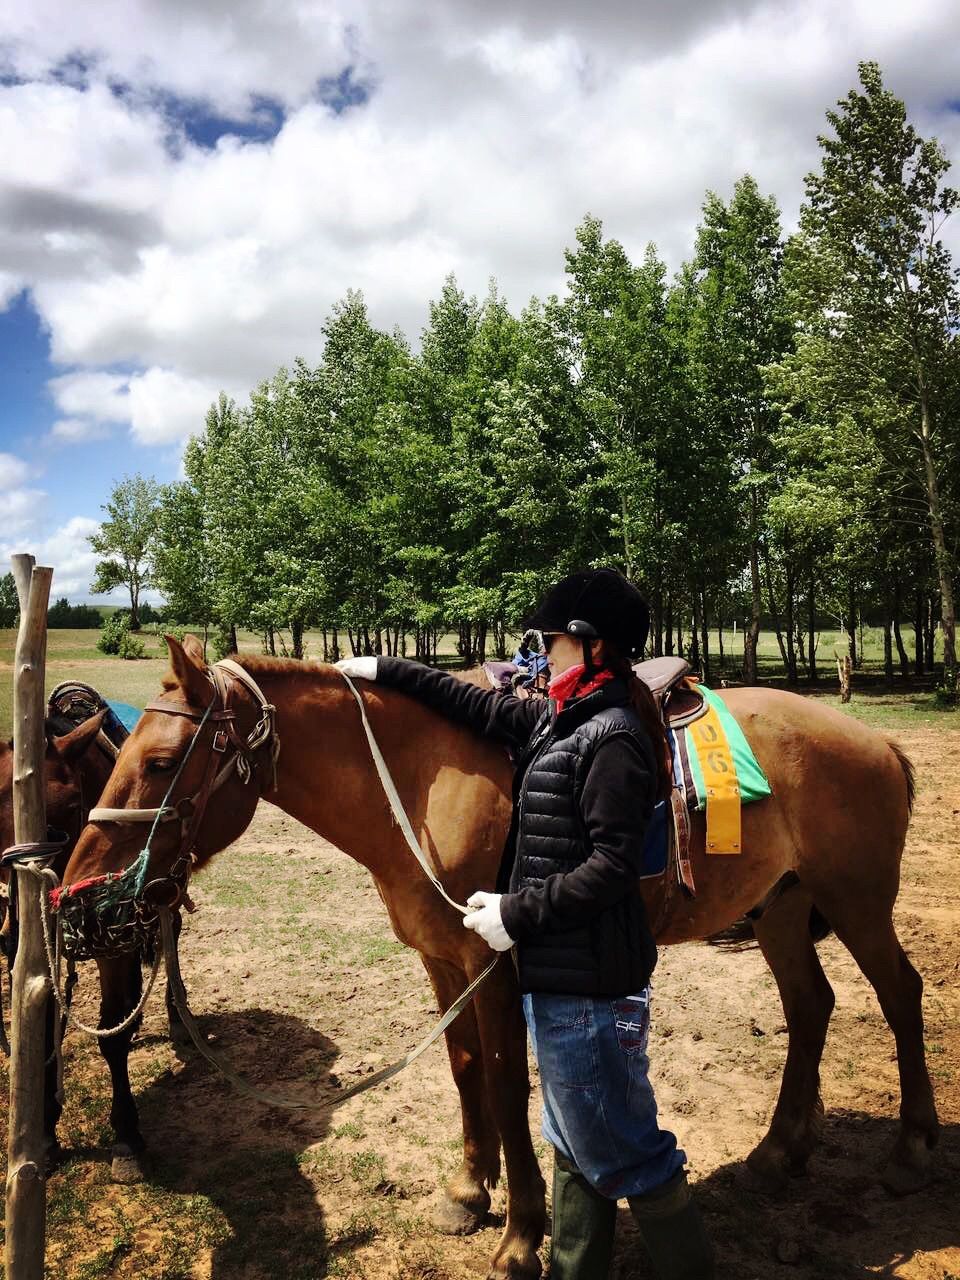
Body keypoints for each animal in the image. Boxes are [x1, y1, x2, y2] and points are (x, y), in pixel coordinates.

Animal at [62, 645, 942, 1280]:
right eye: (122, 750)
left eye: (163, 761)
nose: (77, 896)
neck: (419, 782)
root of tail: (875, 740)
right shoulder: (442, 965)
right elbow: (463, 1071)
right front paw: (467, 1192)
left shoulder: (497, 967)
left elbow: (508, 1083)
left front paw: (520, 1239)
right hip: (786, 910)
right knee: (810, 1006)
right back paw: (780, 1152)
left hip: (857, 903)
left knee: (901, 995)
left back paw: (911, 1152)